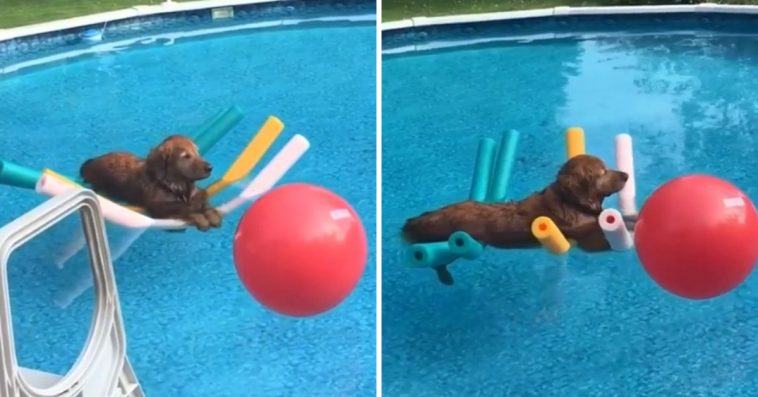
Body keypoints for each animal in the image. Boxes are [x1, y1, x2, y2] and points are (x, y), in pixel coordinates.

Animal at [80, 135, 223, 230]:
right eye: (186, 156)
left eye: (198, 153)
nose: (210, 167)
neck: (173, 186)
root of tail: (90, 164)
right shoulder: (160, 210)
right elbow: (182, 210)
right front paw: (199, 216)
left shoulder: (196, 192)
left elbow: (203, 198)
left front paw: (211, 213)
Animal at [406, 155, 632, 284]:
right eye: (602, 172)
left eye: (607, 167)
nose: (626, 175)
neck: (571, 202)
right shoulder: (584, 235)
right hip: (452, 247)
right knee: (437, 262)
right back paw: (445, 277)